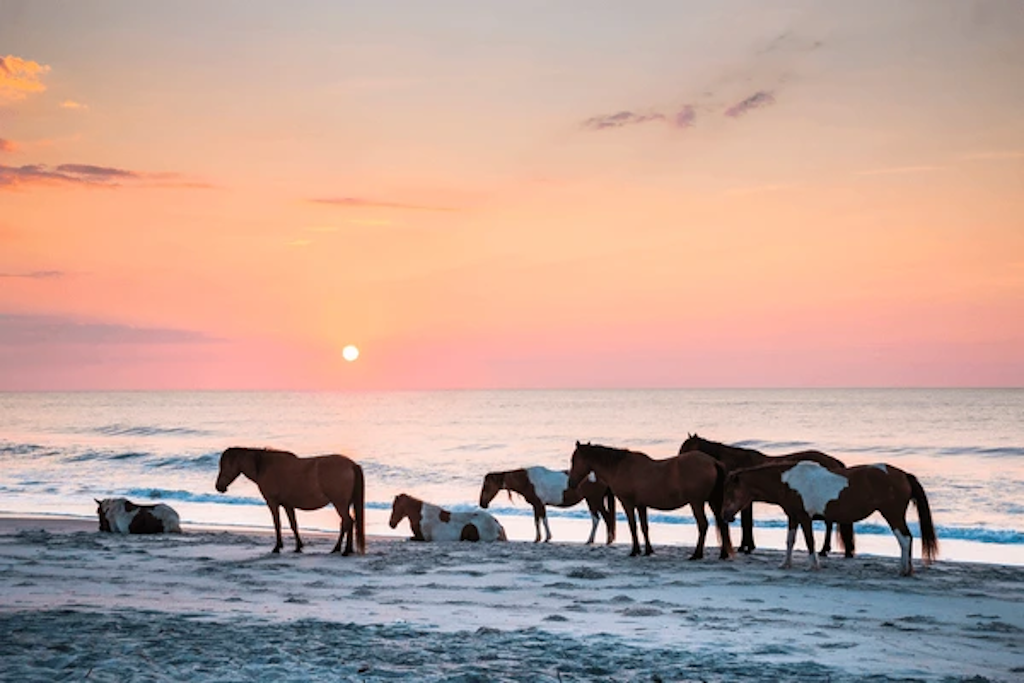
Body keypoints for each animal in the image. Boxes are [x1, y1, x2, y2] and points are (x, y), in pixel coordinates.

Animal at [215, 447, 365, 555]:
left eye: (224, 466)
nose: (219, 487)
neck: (264, 466)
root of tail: (351, 465)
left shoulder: (272, 503)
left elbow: (277, 524)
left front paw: (277, 547)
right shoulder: (288, 505)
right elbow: (293, 525)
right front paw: (298, 547)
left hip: (339, 503)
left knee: (348, 522)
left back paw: (344, 550)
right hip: (343, 504)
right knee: (347, 523)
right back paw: (340, 549)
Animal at [479, 466, 616, 544]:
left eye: (486, 486)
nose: (482, 504)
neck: (527, 481)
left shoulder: (539, 504)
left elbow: (543, 520)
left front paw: (545, 538)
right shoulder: (536, 505)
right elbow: (538, 521)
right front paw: (538, 538)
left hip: (594, 500)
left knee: (602, 518)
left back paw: (602, 540)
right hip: (591, 500)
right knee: (599, 519)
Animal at [567, 441, 732, 560]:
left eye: (574, 460)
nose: (571, 483)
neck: (620, 467)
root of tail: (713, 462)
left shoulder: (628, 503)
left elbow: (633, 526)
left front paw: (634, 551)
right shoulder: (641, 505)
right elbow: (644, 527)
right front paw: (648, 550)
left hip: (696, 503)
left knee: (703, 525)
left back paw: (697, 554)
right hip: (712, 501)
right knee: (721, 524)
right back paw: (723, 554)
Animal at [679, 433, 854, 557]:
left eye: (685, 450)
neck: (737, 463)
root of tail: (834, 462)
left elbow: (746, 523)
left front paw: (746, 546)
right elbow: (747, 522)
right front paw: (747, 546)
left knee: (829, 523)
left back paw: (824, 549)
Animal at [722, 460, 938, 576]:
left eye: (731, 492)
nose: (725, 516)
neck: (788, 481)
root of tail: (903, 475)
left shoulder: (804, 517)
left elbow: (810, 541)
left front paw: (813, 565)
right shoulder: (793, 517)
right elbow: (790, 541)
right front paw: (785, 564)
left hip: (892, 514)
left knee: (905, 538)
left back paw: (903, 569)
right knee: (906, 538)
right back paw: (906, 569)